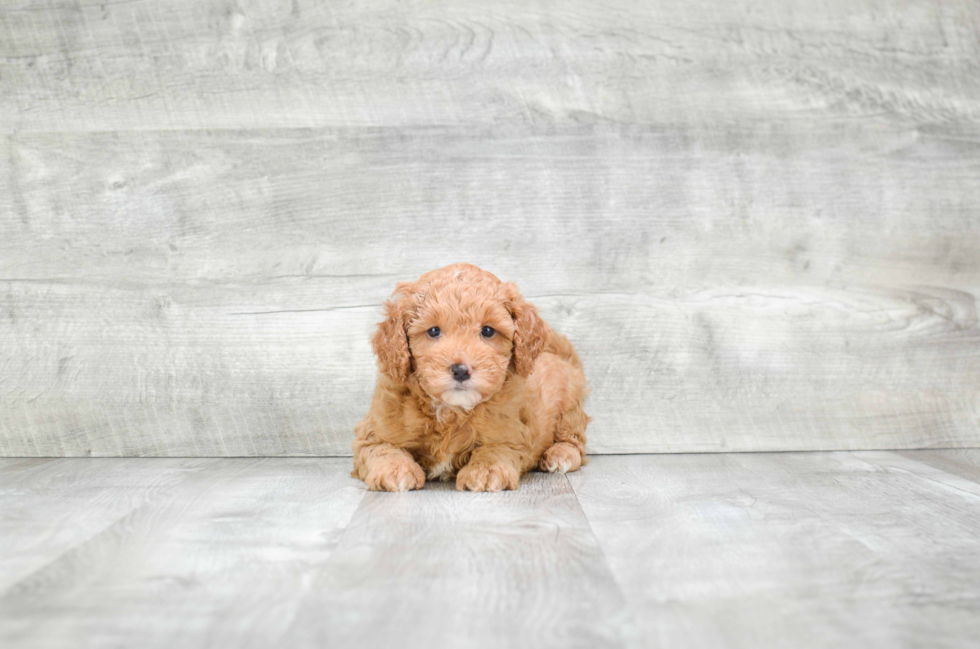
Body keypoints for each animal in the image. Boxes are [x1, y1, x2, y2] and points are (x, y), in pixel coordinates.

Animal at [352, 264, 588, 492]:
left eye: (488, 331)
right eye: (434, 331)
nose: (460, 370)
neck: (451, 410)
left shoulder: (512, 435)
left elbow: (496, 449)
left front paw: (486, 471)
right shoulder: (373, 433)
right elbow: (383, 448)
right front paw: (395, 470)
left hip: (568, 407)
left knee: (575, 440)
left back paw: (561, 454)